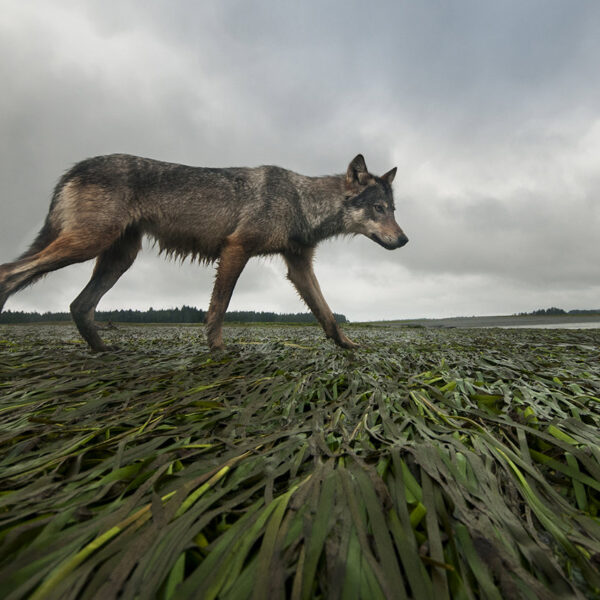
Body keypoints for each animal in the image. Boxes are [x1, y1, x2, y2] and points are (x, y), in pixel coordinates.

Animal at [0, 154, 408, 352]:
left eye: (393, 209)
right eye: (378, 209)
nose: (405, 240)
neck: (301, 202)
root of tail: (75, 167)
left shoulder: (299, 267)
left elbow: (327, 315)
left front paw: (348, 346)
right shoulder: (235, 249)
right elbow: (219, 308)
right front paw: (217, 350)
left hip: (117, 258)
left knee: (79, 305)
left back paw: (105, 351)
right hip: (87, 246)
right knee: (9, 273)